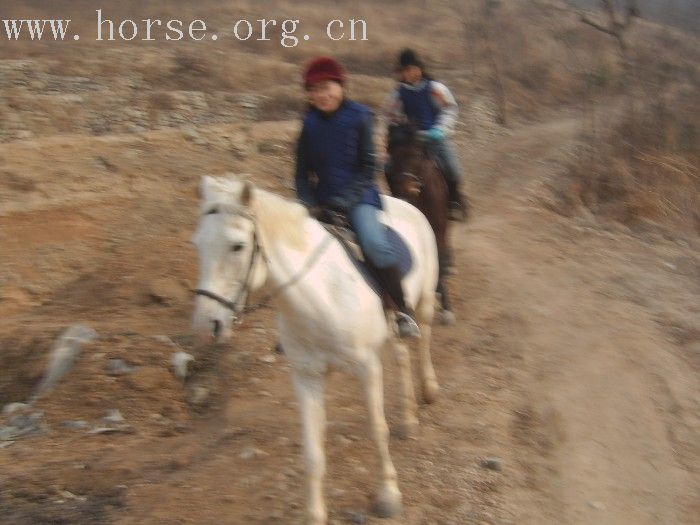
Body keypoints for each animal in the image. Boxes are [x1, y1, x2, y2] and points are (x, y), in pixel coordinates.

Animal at [191, 174, 438, 520]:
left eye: (237, 246)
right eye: (198, 244)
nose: (206, 325)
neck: (322, 295)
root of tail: (405, 203)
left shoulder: (367, 367)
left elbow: (377, 430)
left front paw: (389, 495)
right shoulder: (307, 377)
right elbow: (312, 454)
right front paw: (315, 514)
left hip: (425, 300)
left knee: (424, 339)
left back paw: (429, 389)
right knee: (402, 357)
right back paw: (408, 420)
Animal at [386, 125, 456, 324]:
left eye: (417, 154)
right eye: (391, 153)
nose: (405, 192)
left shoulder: (438, 231)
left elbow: (440, 259)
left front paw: (447, 309)